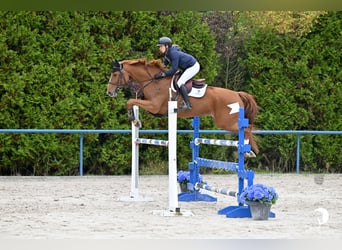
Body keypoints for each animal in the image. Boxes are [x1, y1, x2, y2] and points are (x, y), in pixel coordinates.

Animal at [107, 58, 260, 154]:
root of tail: (237, 94)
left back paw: (249, 150)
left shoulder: (154, 106)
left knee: (247, 128)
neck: (153, 82)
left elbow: (130, 101)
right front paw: (136, 120)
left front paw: (134, 120)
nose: (109, 92)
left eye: (115, 74)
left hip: (225, 122)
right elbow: (133, 101)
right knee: (247, 128)